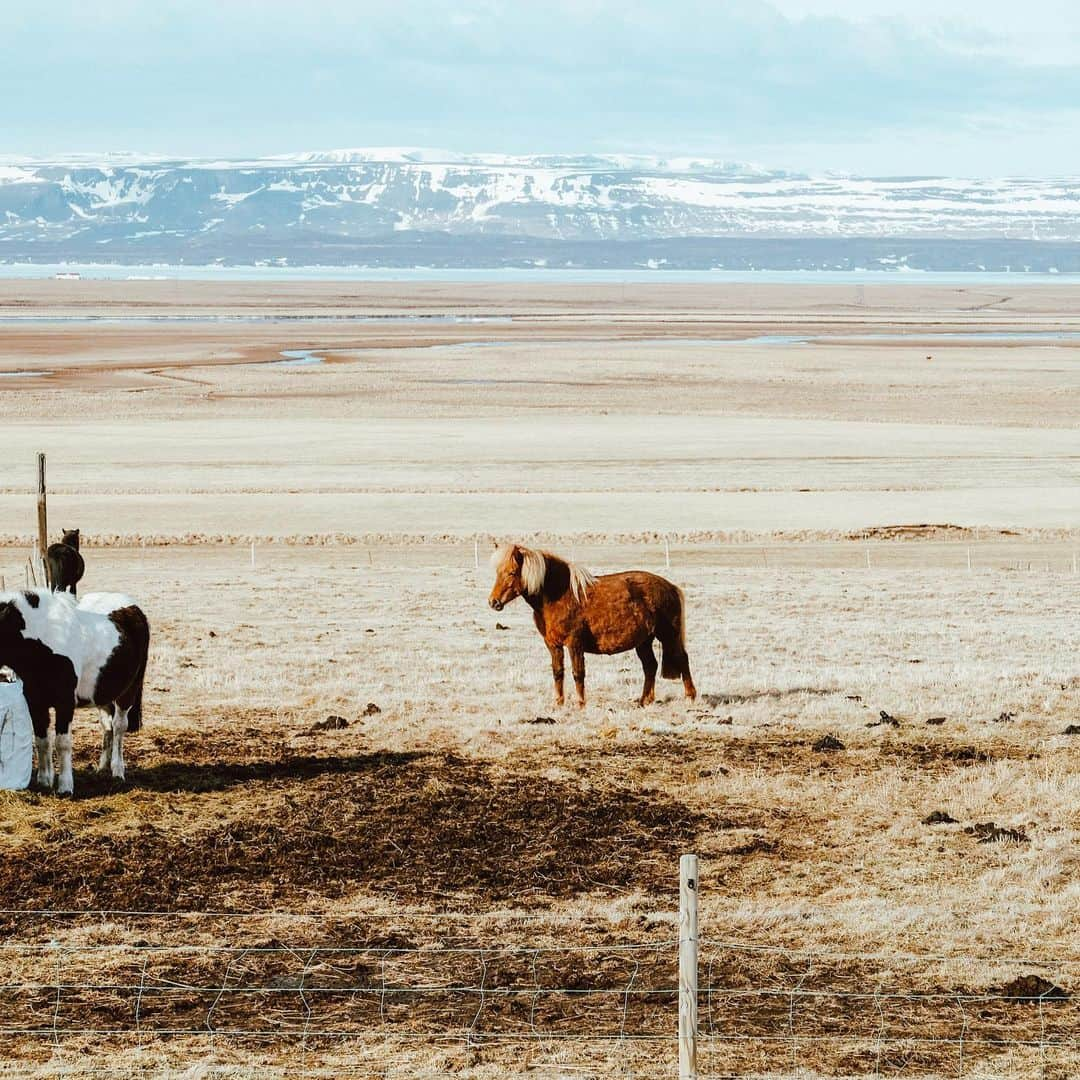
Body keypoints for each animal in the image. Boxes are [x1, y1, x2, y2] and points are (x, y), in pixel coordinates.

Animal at [0, 591, 150, 794]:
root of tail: (133, 608)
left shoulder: (65, 703)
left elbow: (62, 743)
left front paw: (65, 787)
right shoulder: (36, 703)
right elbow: (42, 741)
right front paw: (44, 781)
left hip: (127, 692)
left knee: (119, 727)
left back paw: (117, 772)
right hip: (102, 695)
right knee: (108, 727)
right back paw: (102, 768)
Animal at [488, 548, 695, 708]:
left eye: (512, 573)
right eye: (497, 572)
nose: (493, 602)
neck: (559, 595)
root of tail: (670, 587)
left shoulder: (574, 643)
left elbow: (578, 673)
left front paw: (581, 703)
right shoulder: (553, 644)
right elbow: (558, 673)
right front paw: (558, 703)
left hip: (669, 635)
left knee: (682, 659)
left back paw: (690, 697)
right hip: (643, 642)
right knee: (650, 666)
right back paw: (644, 700)